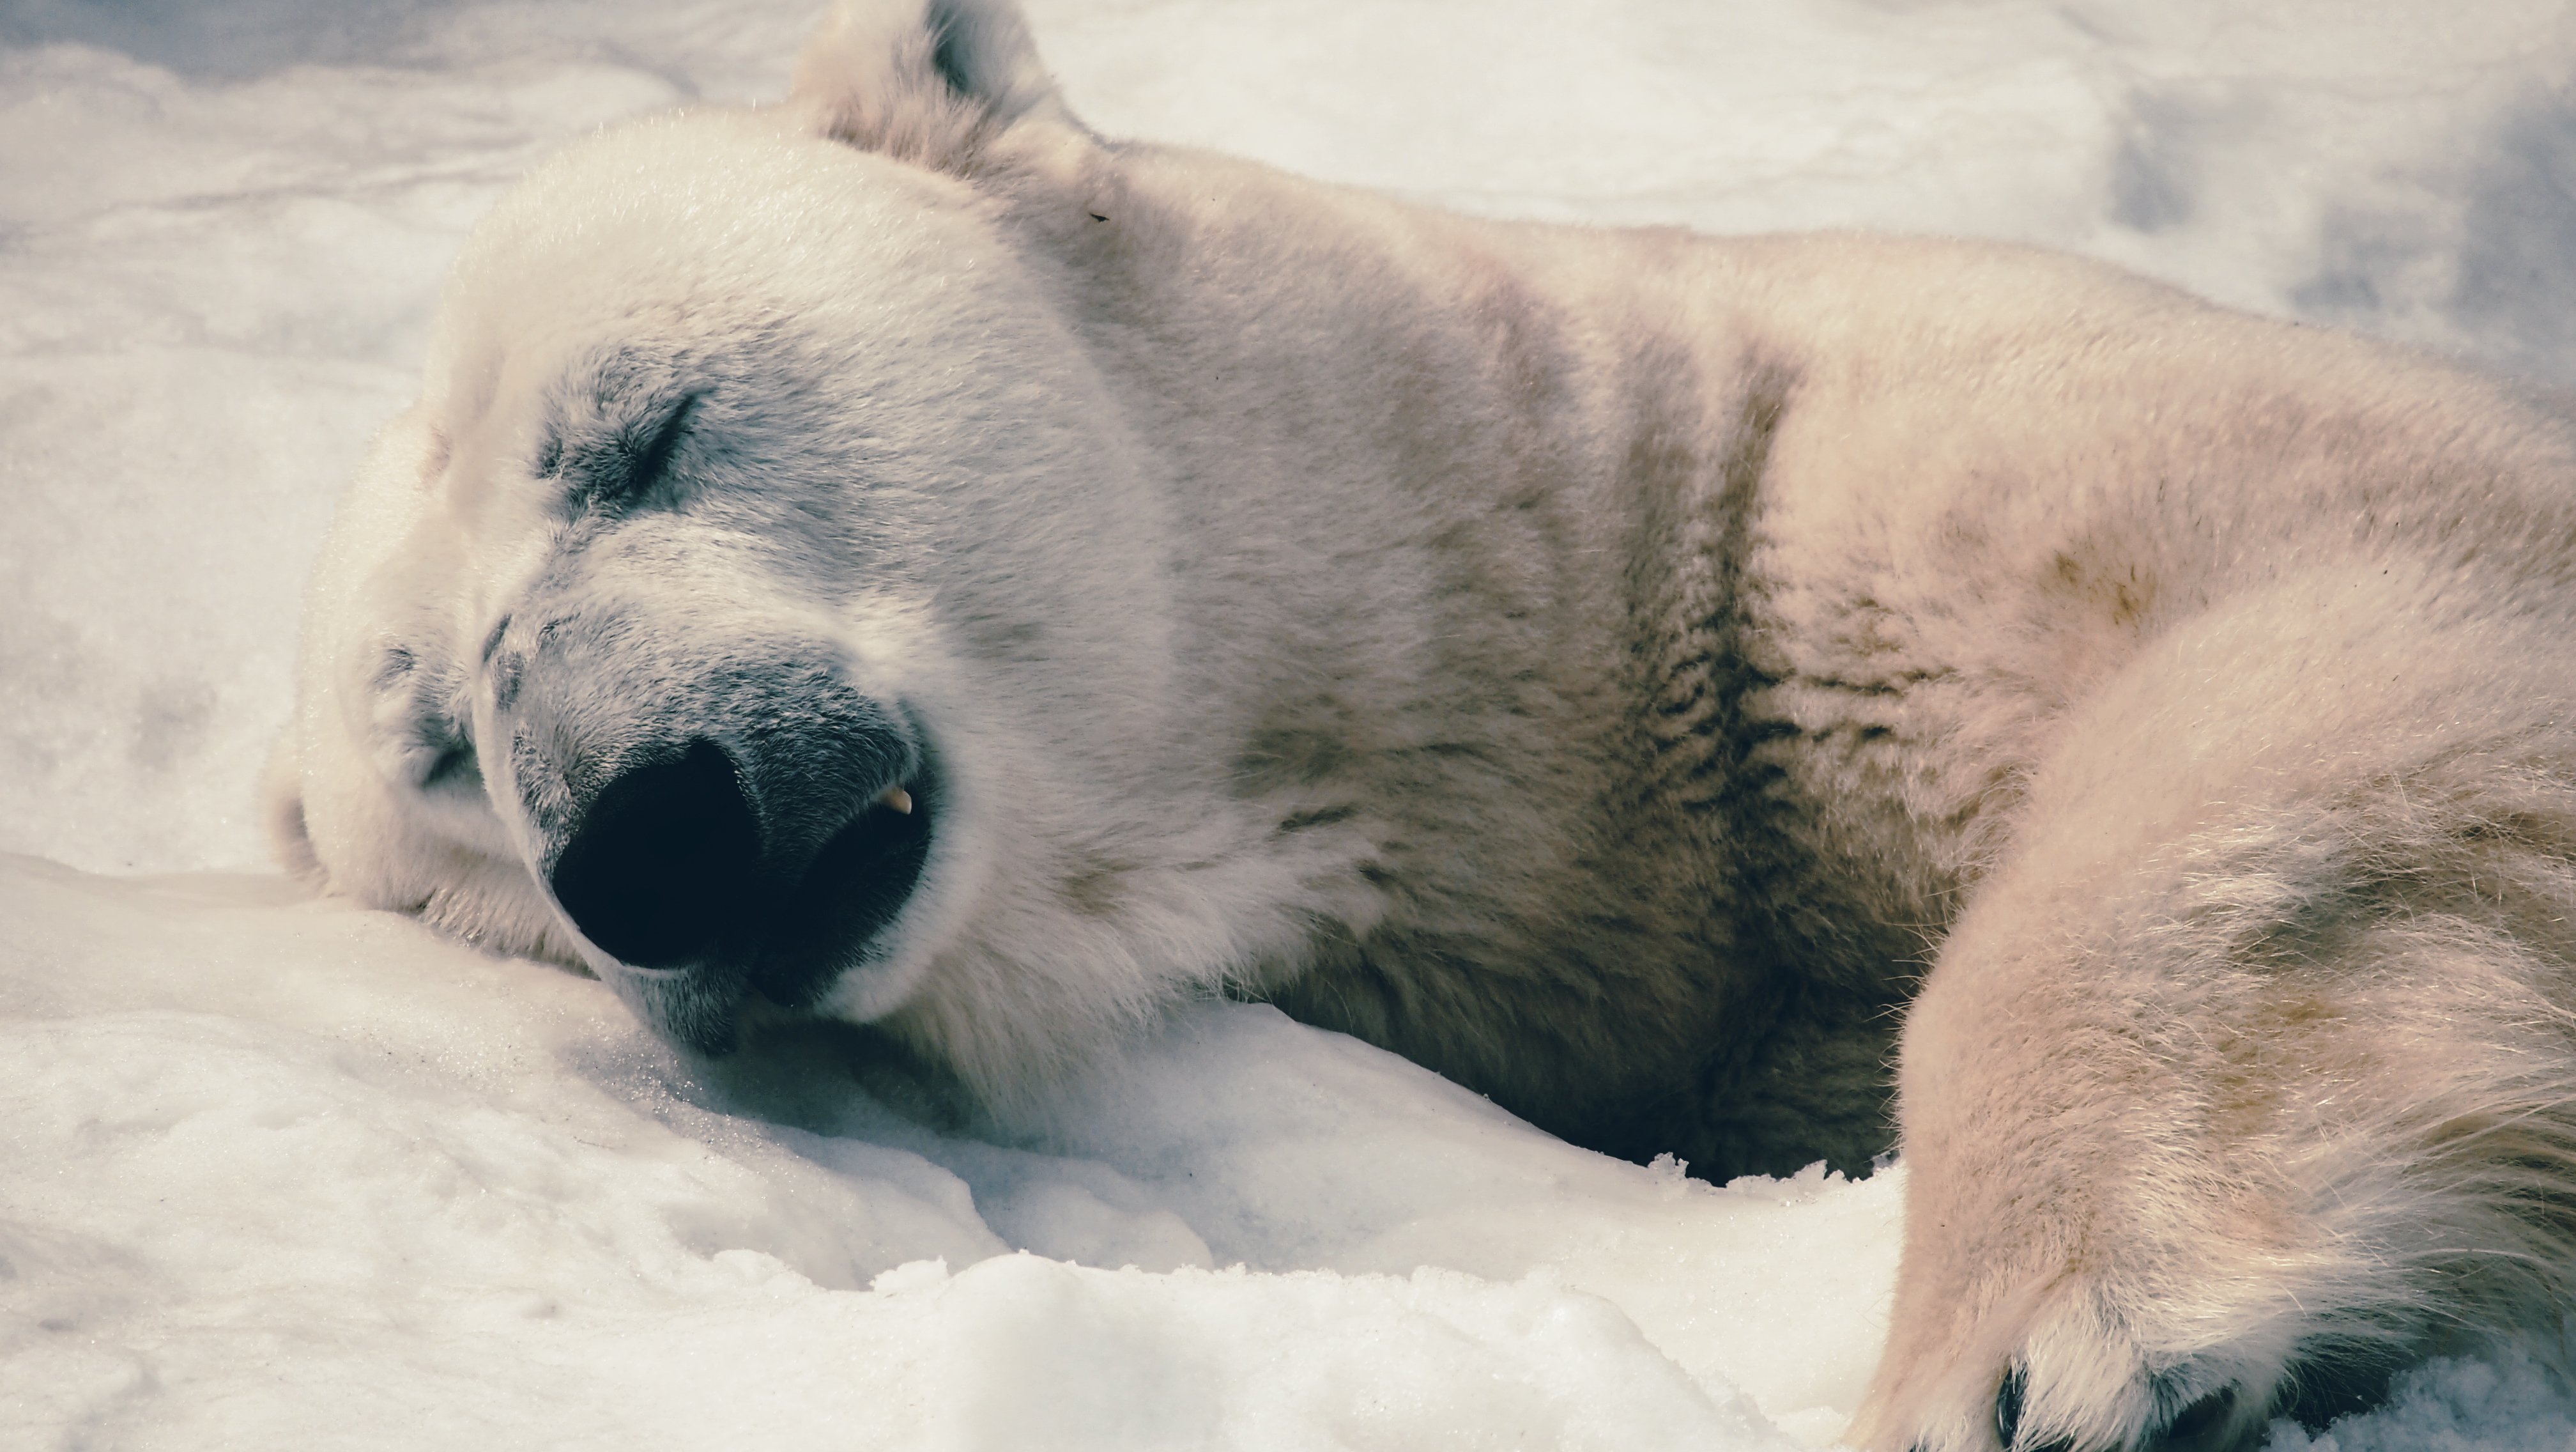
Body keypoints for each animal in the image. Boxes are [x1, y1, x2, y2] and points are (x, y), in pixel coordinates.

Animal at [265, 2, 2576, 1447]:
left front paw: (2022, 1358)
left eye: (643, 428)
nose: (641, 836)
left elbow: (2346, 623)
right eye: (444, 740)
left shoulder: (1894, 474)